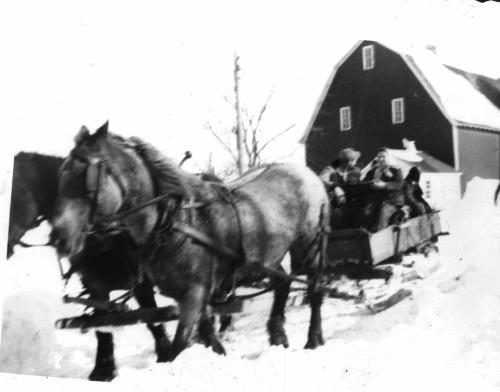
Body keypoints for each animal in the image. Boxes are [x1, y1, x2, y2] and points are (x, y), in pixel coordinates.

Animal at [6, 149, 171, 380]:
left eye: (13, 190)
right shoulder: (95, 287)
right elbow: (101, 327)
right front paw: (103, 371)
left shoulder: (141, 283)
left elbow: (152, 317)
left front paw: (166, 354)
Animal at [50, 121, 332, 366]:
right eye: (60, 177)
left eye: (87, 179)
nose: (58, 239)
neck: (173, 222)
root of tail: (305, 172)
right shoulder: (194, 295)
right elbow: (205, 335)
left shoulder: (194, 294)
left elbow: (180, 345)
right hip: (267, 256)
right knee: (282, 282)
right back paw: (278, 337)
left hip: (310, 244)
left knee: (315, 289)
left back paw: (313, 340)